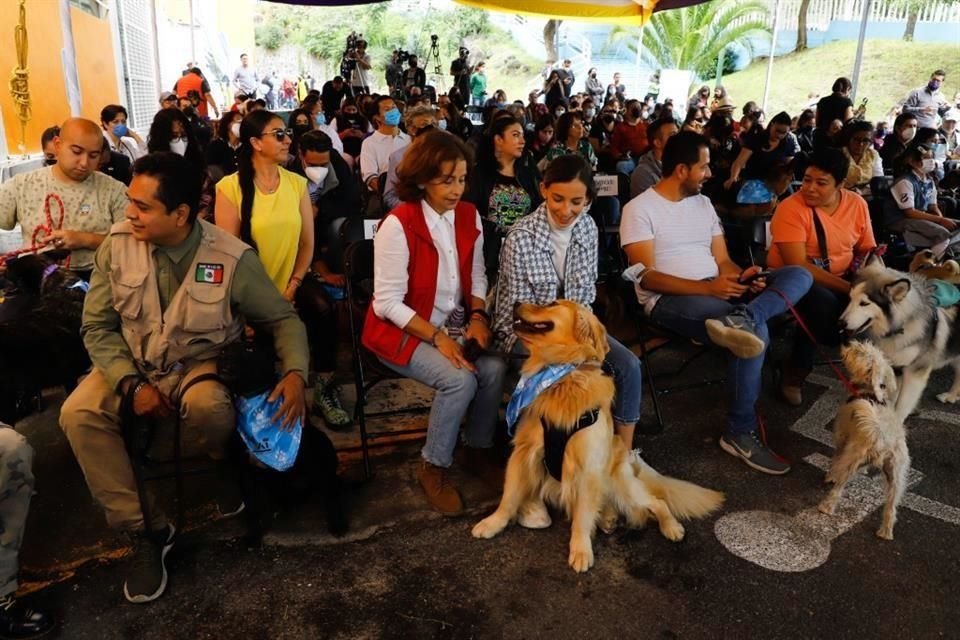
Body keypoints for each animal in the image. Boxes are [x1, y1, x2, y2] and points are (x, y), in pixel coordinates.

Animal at [468, 302, 724, 572]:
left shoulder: (587, 468)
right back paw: (608, 518)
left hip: (622, 483)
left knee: (656, 502)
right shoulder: (523, 452)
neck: (562, 375)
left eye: (552, 303)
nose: (517, 303)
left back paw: (670, 526)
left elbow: (582, 517)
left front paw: (581, 550)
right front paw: (493, 523)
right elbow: (508, 497)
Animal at [820, 340, 912, 540]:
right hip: (896, 477)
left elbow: (835, 458)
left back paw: (826, 507)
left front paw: (830, 476)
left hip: (852, 459)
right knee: (891, 507)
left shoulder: (842, 436)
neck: (869, 391)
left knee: (839, 487)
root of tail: (885, 441)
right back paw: (885, 532)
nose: (846, 343)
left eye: (859, 352)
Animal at [840, 252, 960, 422]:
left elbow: (903, 405)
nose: (840, 323)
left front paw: (895, 423)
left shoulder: (915, 372)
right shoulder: (896, 367)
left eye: (864, 303)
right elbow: (891, 398)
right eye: (850, 298)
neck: (901, 326)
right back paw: (951, 396)